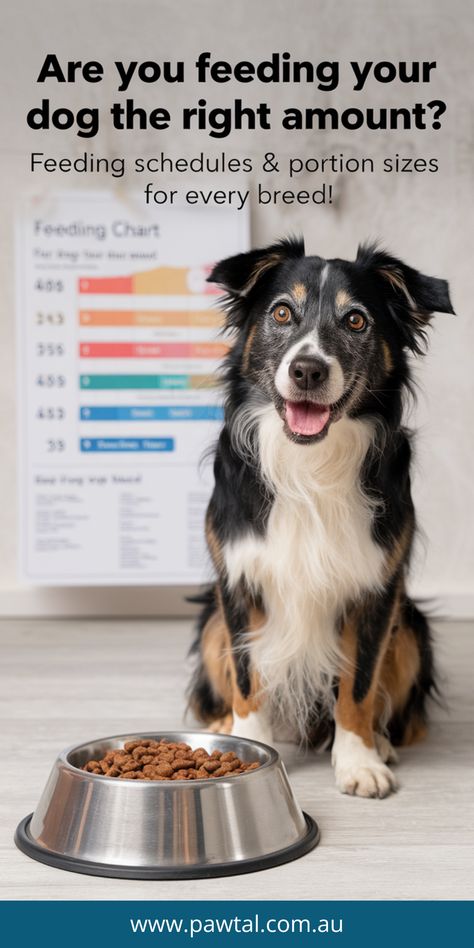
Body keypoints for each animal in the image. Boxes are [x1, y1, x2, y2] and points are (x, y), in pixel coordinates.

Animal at [187, 235, 454, 792]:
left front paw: (358, 761)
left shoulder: (378, 590)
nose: (307, 369)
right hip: (210, 624)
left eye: (355, 321)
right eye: (282, 312)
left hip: (411, 630)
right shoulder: (238, 582)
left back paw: (382, 742)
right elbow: (247, 677)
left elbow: (359, 684)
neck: (308, 464)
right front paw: (247, 745)